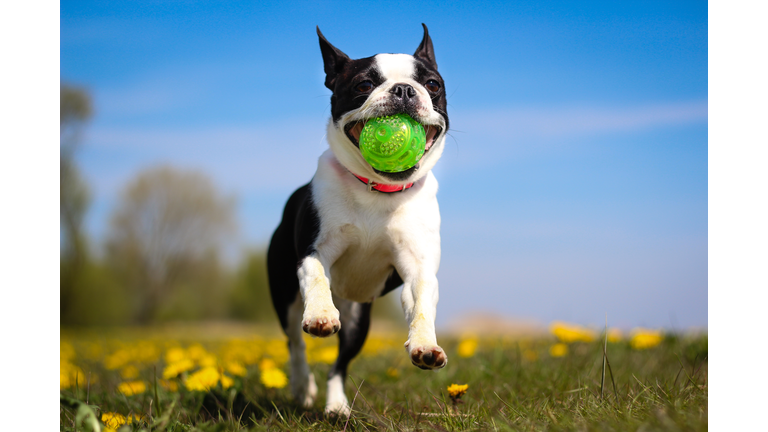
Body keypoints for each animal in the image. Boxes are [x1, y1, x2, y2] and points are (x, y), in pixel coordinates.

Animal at [268, 23, 450, 416]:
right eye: (364, 84)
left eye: (432, 85)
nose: (403, 89)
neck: (379, 192)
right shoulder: (314, 252)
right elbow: (316, 278)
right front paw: (321, 315)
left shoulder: (418, 269)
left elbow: (422, 305)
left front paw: (425, 346)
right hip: (283, 294)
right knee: (295, 343)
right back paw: (302, 386)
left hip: (358, 319)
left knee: (339, 364)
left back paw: (336, 406)